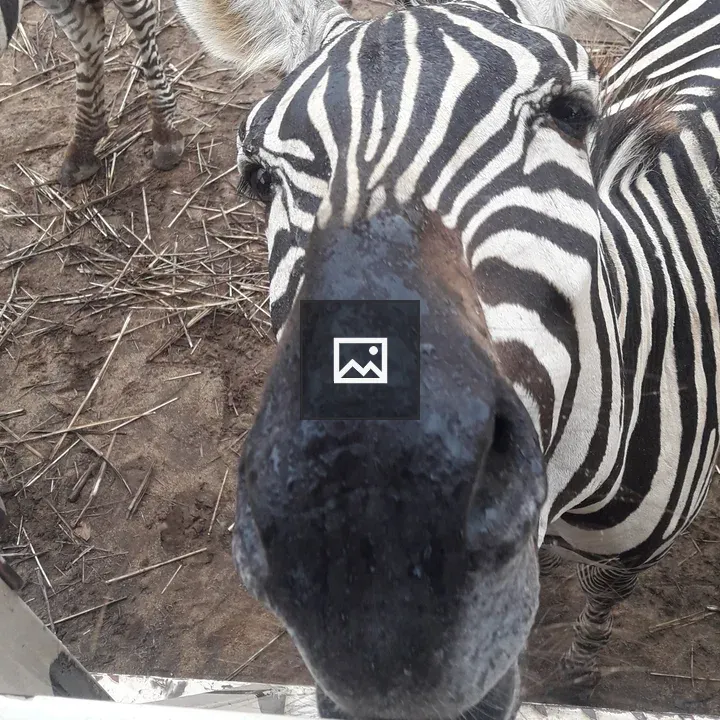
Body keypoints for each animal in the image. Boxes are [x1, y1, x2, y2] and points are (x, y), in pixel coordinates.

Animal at [174, 0, 720, 718]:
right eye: (257, 179)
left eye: (572, 112)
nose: (383, 602)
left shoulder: (634, 554)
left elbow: (602, 600)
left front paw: (576, 677)